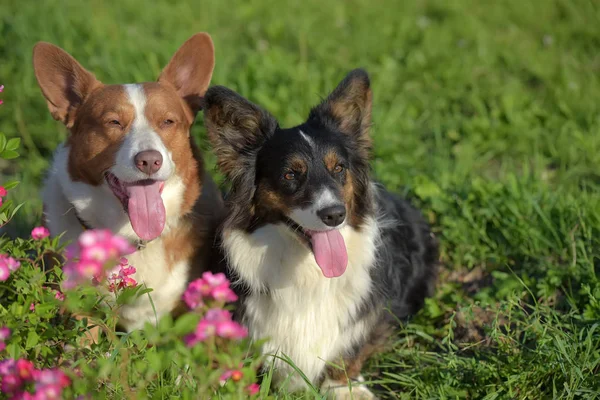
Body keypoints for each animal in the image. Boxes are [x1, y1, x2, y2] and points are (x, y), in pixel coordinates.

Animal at [203, 69, 436, 396]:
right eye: (290, 175)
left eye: (338, 168)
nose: (335, 214)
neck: (307, 272)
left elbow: (350, 349)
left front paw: (345, 388)